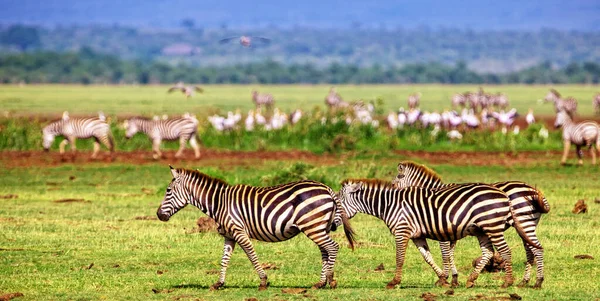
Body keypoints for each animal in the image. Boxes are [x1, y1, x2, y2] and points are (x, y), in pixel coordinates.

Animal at [156, 165, 356, 290]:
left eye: (168, 191)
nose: (158, 215)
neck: (219, 202)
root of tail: (327, 188)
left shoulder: (239, 231)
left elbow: (251, 256)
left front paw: (263, 281)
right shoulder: (229, 235)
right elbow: (224, 259)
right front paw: (219, 283)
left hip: (312, 226)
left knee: (333, 247)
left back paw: (329, 280)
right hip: (318, 227)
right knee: (325, 251)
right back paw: (321, 282)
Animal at [338, 177, 540, 288]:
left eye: (338, 201)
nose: (333, 223)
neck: (390, 205)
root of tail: (503, 193)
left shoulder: (402, 231)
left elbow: (400, 258)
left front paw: (394, 282)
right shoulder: (417, 235)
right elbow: (427, 257)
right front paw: (443, 279)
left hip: (493, 225)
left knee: (506, 251)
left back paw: (509, 282)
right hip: (483, 229)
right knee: (489, 252)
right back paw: (472, 280)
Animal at [392, 161, 552, 288]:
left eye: (393, 184)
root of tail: (532, 189)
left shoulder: (443, 230)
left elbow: (445, 254)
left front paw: (445, 278)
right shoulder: (451, 232)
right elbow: (450, 254)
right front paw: (454, 279)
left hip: (524, 222)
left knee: (536, 250)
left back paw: (537, 281)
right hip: (525, 225)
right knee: (530, 250)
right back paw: (525, 281)